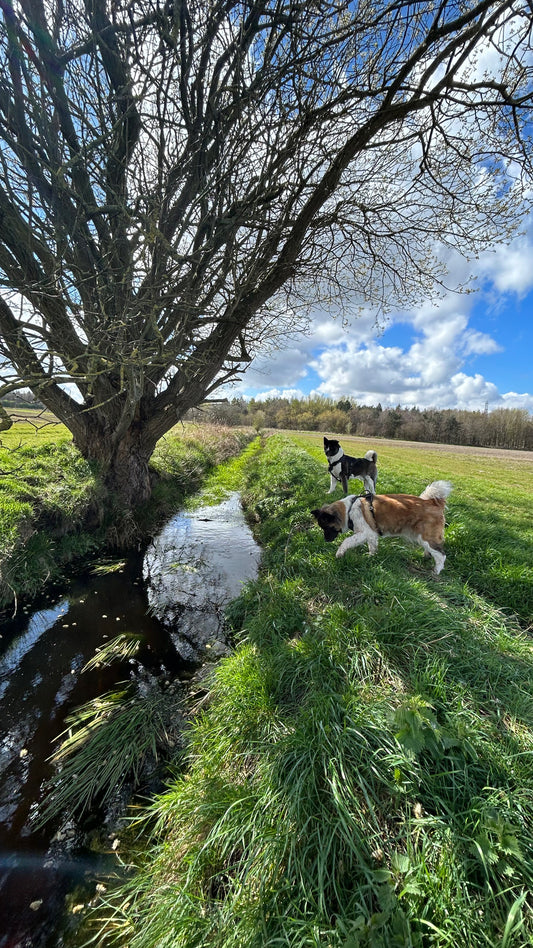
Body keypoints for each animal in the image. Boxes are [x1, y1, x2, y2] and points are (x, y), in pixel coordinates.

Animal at [312, 482, 454, 572]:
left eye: (326, 527)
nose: (326, 540)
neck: (349, 510)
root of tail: (433, 502)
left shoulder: (365, 532)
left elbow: (347, 541)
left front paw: (339, 553)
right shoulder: (372, 535)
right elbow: (372, 547)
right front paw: (371, 557)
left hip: (426, 537)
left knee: (441, 556)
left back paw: (436, 571)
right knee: (433, 552)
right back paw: (426, 557)